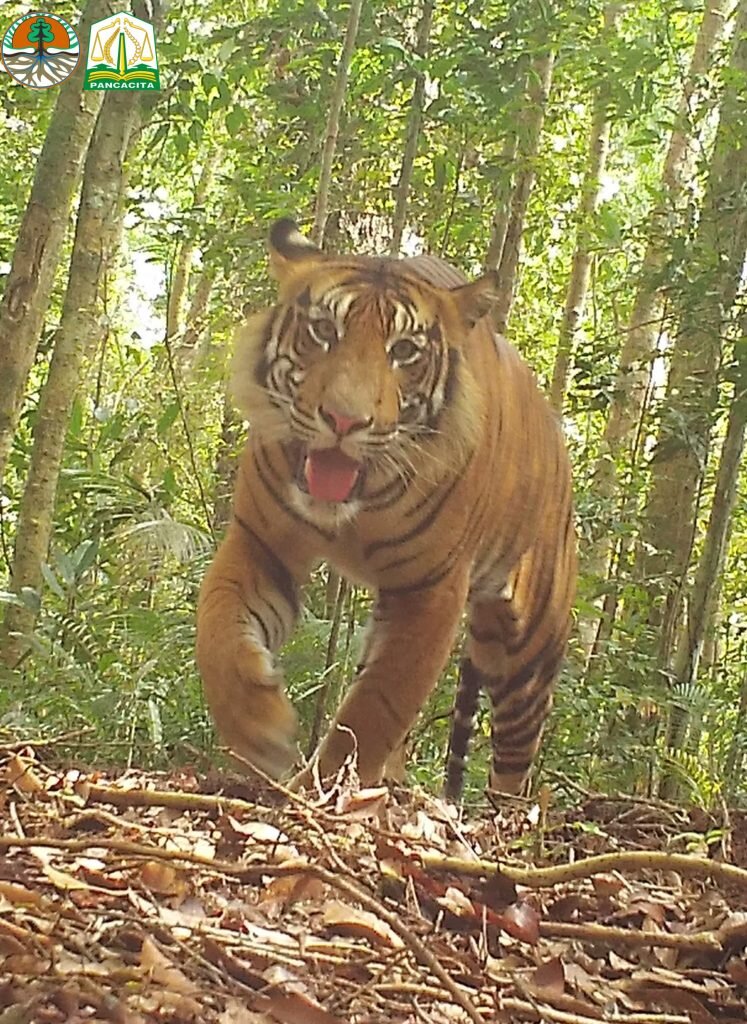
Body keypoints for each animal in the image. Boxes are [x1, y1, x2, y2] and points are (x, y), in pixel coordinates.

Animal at [196, 218, 576, 798]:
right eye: (322, 331)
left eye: (405, 351)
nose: (344, 420)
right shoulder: (259, 542)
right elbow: (217, 633)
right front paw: (261, 730)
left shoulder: (430, 591)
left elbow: (377, 705)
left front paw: (326, 786)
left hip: (529, 655)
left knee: (515, 760)